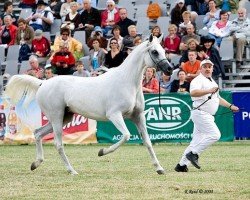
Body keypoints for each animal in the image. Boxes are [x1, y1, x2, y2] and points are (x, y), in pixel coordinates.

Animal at [6, 36, 174, 175]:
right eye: (154, 52)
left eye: (163, 51)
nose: (169, 69)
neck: (126, 81)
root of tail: (42, 83)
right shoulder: (114, 115)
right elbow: (126, 135)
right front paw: (102, 151)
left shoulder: (138, 116)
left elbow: (147, 142)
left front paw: (159, 168)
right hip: (56, 117)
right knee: (58, 143)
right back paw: (72, 170)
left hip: (64, 118)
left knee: (38, 133)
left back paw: (36, 163)